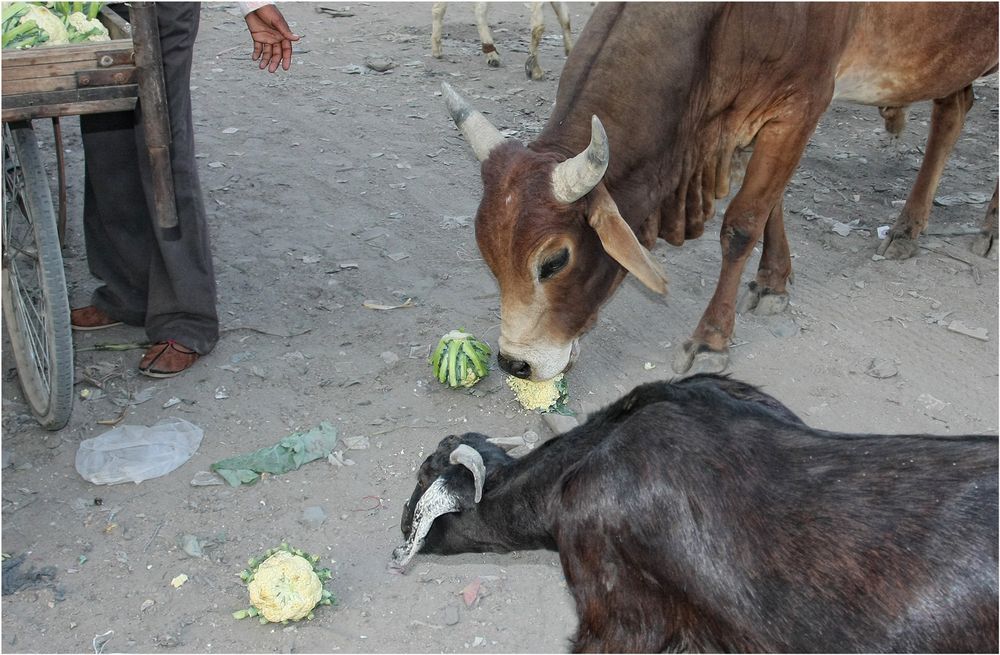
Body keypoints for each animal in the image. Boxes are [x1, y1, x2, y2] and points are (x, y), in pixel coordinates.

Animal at [446, 2, 1000, 380]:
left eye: (554, 261)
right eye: (486, 253)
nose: (515, 364)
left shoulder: (802, 104)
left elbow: (741, 224)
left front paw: (712, 338)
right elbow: (773, 206)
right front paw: (774, 282)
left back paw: (987, 225)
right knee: (953, 109)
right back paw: (908, 229)